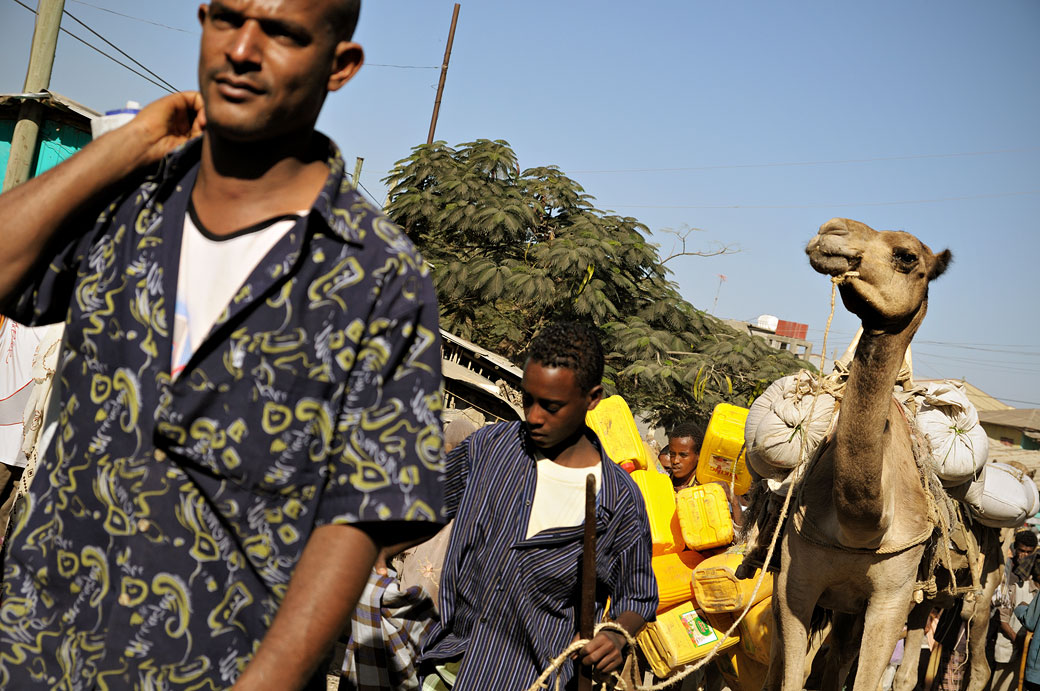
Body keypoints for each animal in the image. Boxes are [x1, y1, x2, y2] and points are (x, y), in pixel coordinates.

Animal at [765, 217, 952, 691]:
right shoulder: (795, 584)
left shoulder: (892, 597)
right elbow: (790, 675)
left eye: (906, 256)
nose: (831, 230)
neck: (860, 530)